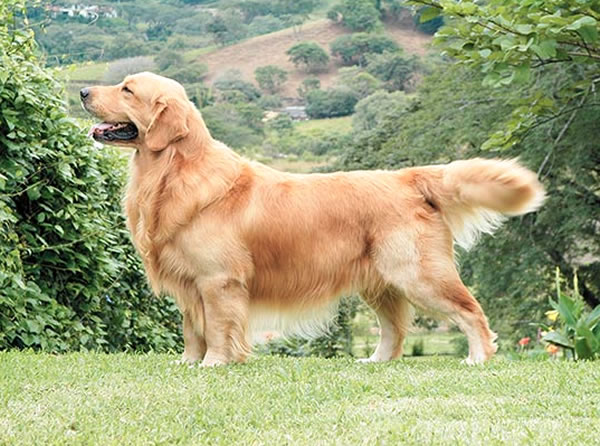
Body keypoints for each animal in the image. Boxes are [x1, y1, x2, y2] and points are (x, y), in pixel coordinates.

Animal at [79, 72, 544, 366]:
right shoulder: (189, 284)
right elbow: (193, 329)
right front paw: (188, 362)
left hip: (417, 273)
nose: (82, 90)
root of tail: (407, 177)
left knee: (471, 312)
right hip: (382, 282)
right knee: (393, 330)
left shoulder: (218, 281)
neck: (174, 172)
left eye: (127, 89)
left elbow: (218, 328)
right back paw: (375, 361)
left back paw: (478, 357)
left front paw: (214, 363)